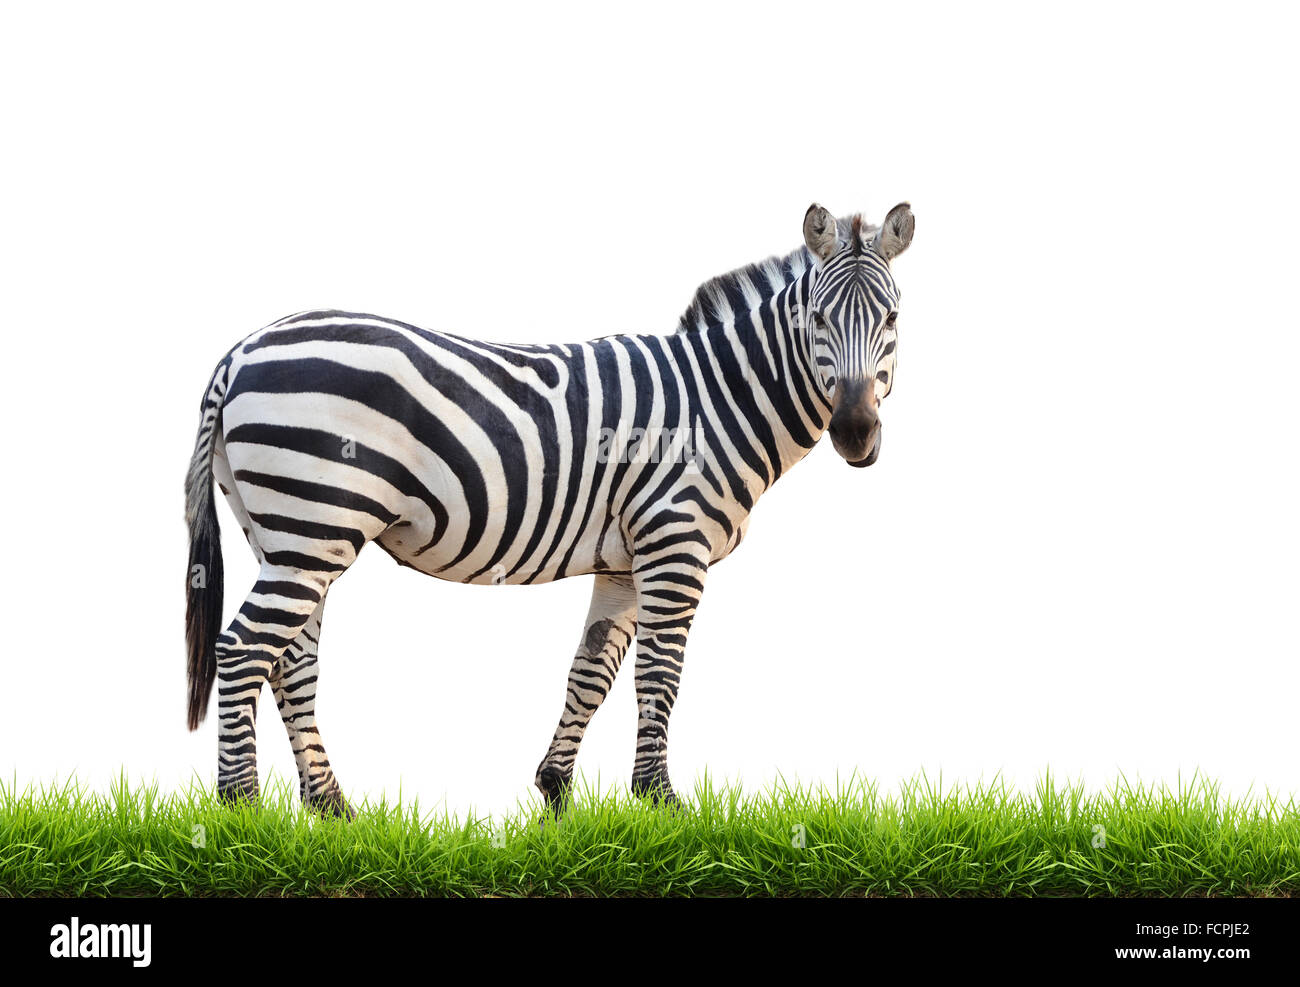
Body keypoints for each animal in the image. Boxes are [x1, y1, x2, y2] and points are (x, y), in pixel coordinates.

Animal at [183, 202, 915, 816]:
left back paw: (332, 809)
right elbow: (660, 674)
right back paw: (242, 808)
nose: (855, 433)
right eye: (818, 320)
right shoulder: (675, 543)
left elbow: (590, 673)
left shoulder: (625, 560)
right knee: (243, 650)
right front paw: (662, 803)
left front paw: (557, 792)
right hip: (313, 526)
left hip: (287, 535)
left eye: (892, 319)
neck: (717, 398)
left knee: (291, 661)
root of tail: (238, 353)